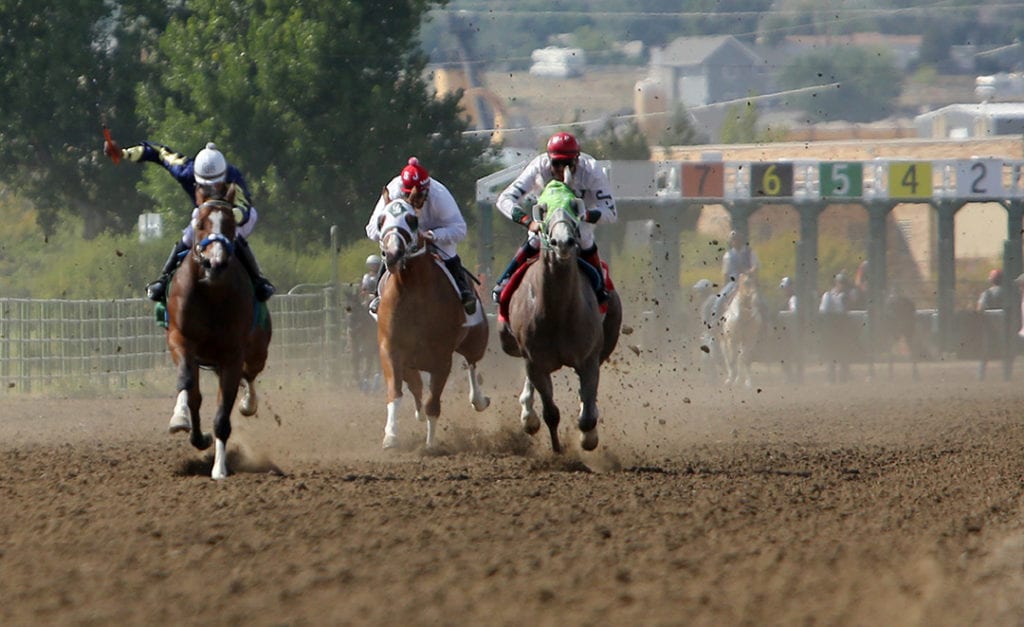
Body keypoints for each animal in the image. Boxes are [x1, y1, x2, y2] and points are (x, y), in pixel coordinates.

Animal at [162, 186, 270, 479]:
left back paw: (248, 403)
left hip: (257, 351)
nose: (215, 262)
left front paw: (220, 469)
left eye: (231, 224)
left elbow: (223, 415)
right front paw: (180, 419)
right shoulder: (180, 340)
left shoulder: (232, 355)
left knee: (250, 375)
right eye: (199, 224)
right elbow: (187, 384)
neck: (210, 292)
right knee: (198, 396)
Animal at [376, 194, 487, 446]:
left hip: (476, 339)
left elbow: (433, 404)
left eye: (412, 219)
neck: (413, 290)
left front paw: (430, 444)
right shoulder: (391, 349)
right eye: (381, 220)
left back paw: (478, 399)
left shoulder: (442, 358)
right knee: (416, 385)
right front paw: (390, 436)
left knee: (472, 363)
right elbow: (396, 392)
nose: (393, 254)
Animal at [497, 179, 618, 452]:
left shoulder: (589, 359)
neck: (558, 311)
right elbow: (550, 412)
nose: (562, 242)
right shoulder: (534, 360)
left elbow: (587, 415)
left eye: (574, 206)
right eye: (542, 209)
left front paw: (588, 437)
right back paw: (528, 416)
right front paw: (556, 448)